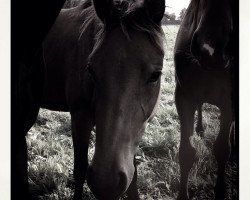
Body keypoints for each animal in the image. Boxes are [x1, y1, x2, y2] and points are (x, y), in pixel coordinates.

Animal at [40, 0, 165, 198]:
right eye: (91, 70)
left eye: (155, 75)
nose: (106, 183)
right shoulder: (80, 117)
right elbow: (80, 168)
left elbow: (134, 175)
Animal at [173, 0, 237, 200]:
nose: (210, 50)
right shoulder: (183, 97)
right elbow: (186, 152)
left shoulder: (229, 102)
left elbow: (222, 150)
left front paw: (220, 191)